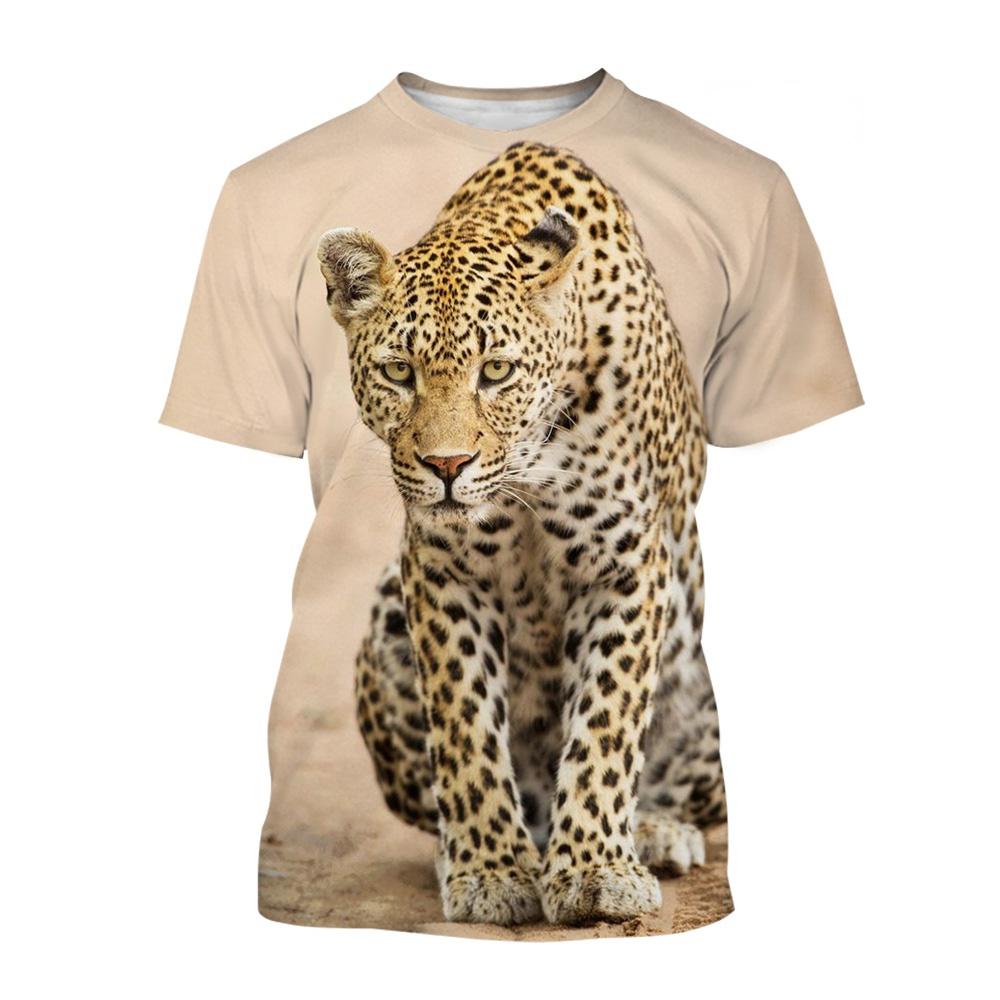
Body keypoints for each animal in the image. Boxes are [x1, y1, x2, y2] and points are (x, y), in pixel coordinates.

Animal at [317, 141, 726, 927]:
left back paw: (656, 833)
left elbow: (606, 723)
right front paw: (491, 871)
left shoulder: (627, 566)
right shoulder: (441, 569)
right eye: (399, 371)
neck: (531, 461)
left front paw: (598, 870)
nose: (447, 466)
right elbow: (466, 726)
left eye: (496, 370)